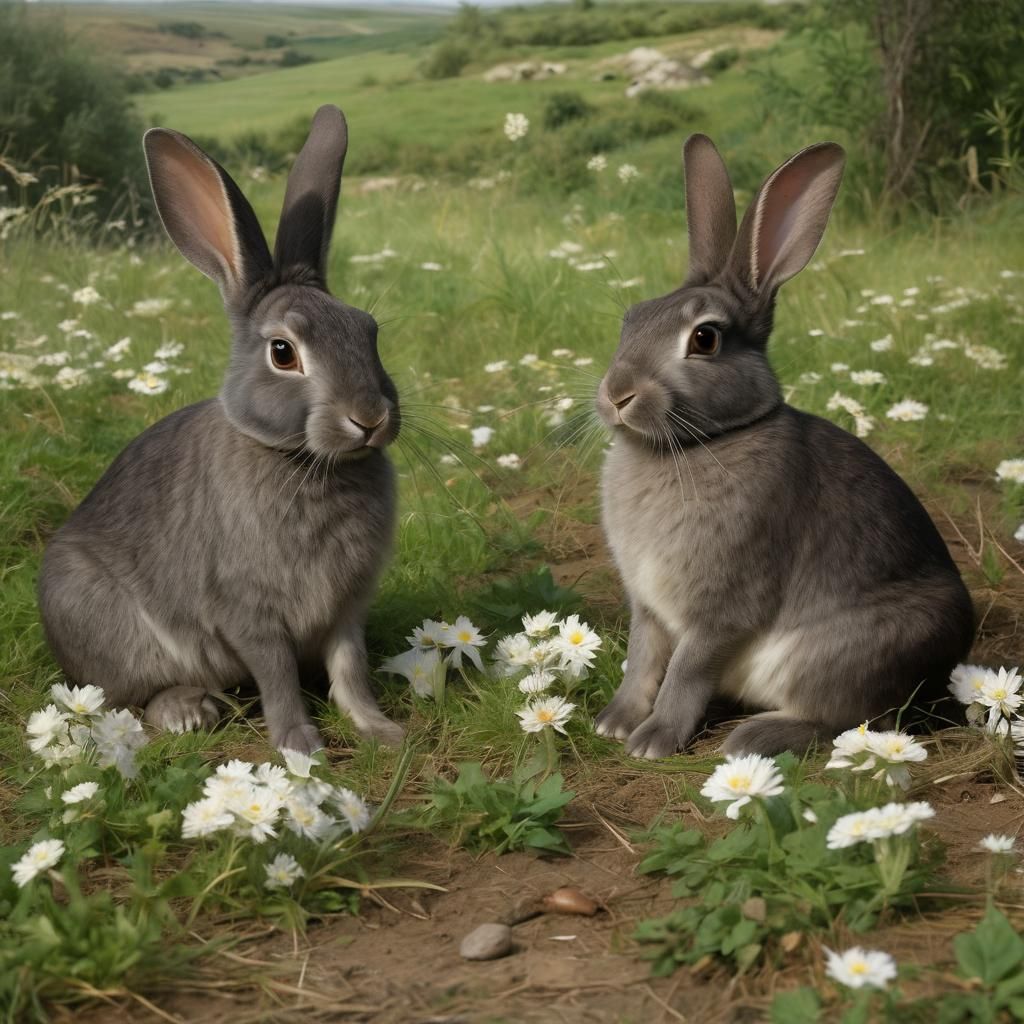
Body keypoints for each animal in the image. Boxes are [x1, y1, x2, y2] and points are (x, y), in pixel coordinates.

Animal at [37, 105, 405, 754]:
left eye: (370, 330)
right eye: (283, 352)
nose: (370, 417)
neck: (300, 459)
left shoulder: (346, 610)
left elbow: (350, 669)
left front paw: (380, 730)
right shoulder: (248, 613)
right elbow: (277, 676)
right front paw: (300, 747)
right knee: (129, 696)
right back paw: (187, 711)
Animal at [594, 134, 975, 760]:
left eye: (705, 339)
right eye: (631, 319)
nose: (617, 394)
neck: (702, 443)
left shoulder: (722, 609)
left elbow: (686, 672)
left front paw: (653, 741)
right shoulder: (648, 608)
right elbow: (641, 662)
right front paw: (614, 722)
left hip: (836, 658)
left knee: (851, 720)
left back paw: (753, 736)